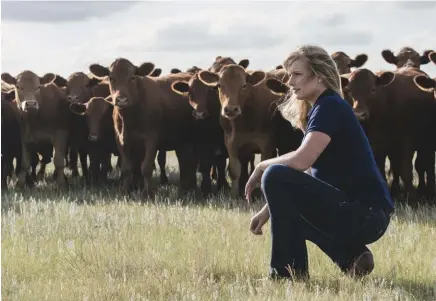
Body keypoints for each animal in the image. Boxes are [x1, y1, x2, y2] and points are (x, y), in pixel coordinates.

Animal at [88, 58, 198, 197]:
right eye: (111, 78)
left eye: (132, 77)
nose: (121, 99)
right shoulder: (121, 140)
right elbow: (127, 168)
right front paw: (125, 191)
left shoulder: (151, 140)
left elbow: (146, 167)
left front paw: (147, 193)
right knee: (186, 161)